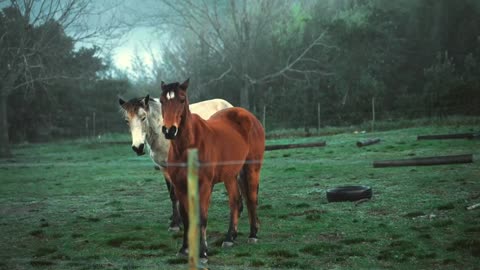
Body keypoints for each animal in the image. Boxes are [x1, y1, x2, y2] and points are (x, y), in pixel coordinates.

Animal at [119, 95, 232, 230]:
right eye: (127, 120)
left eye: (143, 117)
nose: (138, 147)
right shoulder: (164, 168)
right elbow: (172, 194)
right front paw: (176, 220)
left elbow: (175, 193)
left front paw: (176, 224)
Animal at [160, 78, 266, 262]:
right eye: (161, 101)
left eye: (182, 99)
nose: (169, 130)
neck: (188, 147)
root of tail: (248, 116)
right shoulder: (180, 186)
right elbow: (187, 218)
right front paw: (184, 249)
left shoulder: (204, 186)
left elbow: (202, 218)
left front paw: (203, 253)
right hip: (231, 175)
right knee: (236, 202)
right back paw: (230, 238)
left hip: (252, 168)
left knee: (251, 199)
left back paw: (253, 235)